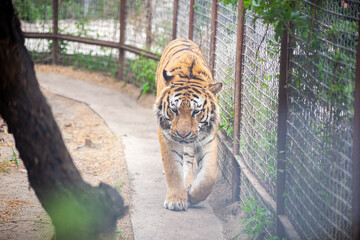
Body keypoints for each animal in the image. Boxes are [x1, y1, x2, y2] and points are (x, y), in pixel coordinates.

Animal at [155, 38, 222, 211]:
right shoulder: (167, 136)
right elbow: (172, 168)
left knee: (188, 158)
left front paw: (193, 195)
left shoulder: (208, 138)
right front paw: (176, 201)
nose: (183, 134)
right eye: (174, 110)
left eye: (196, 112)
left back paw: (189, 182)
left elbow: (209, 175)